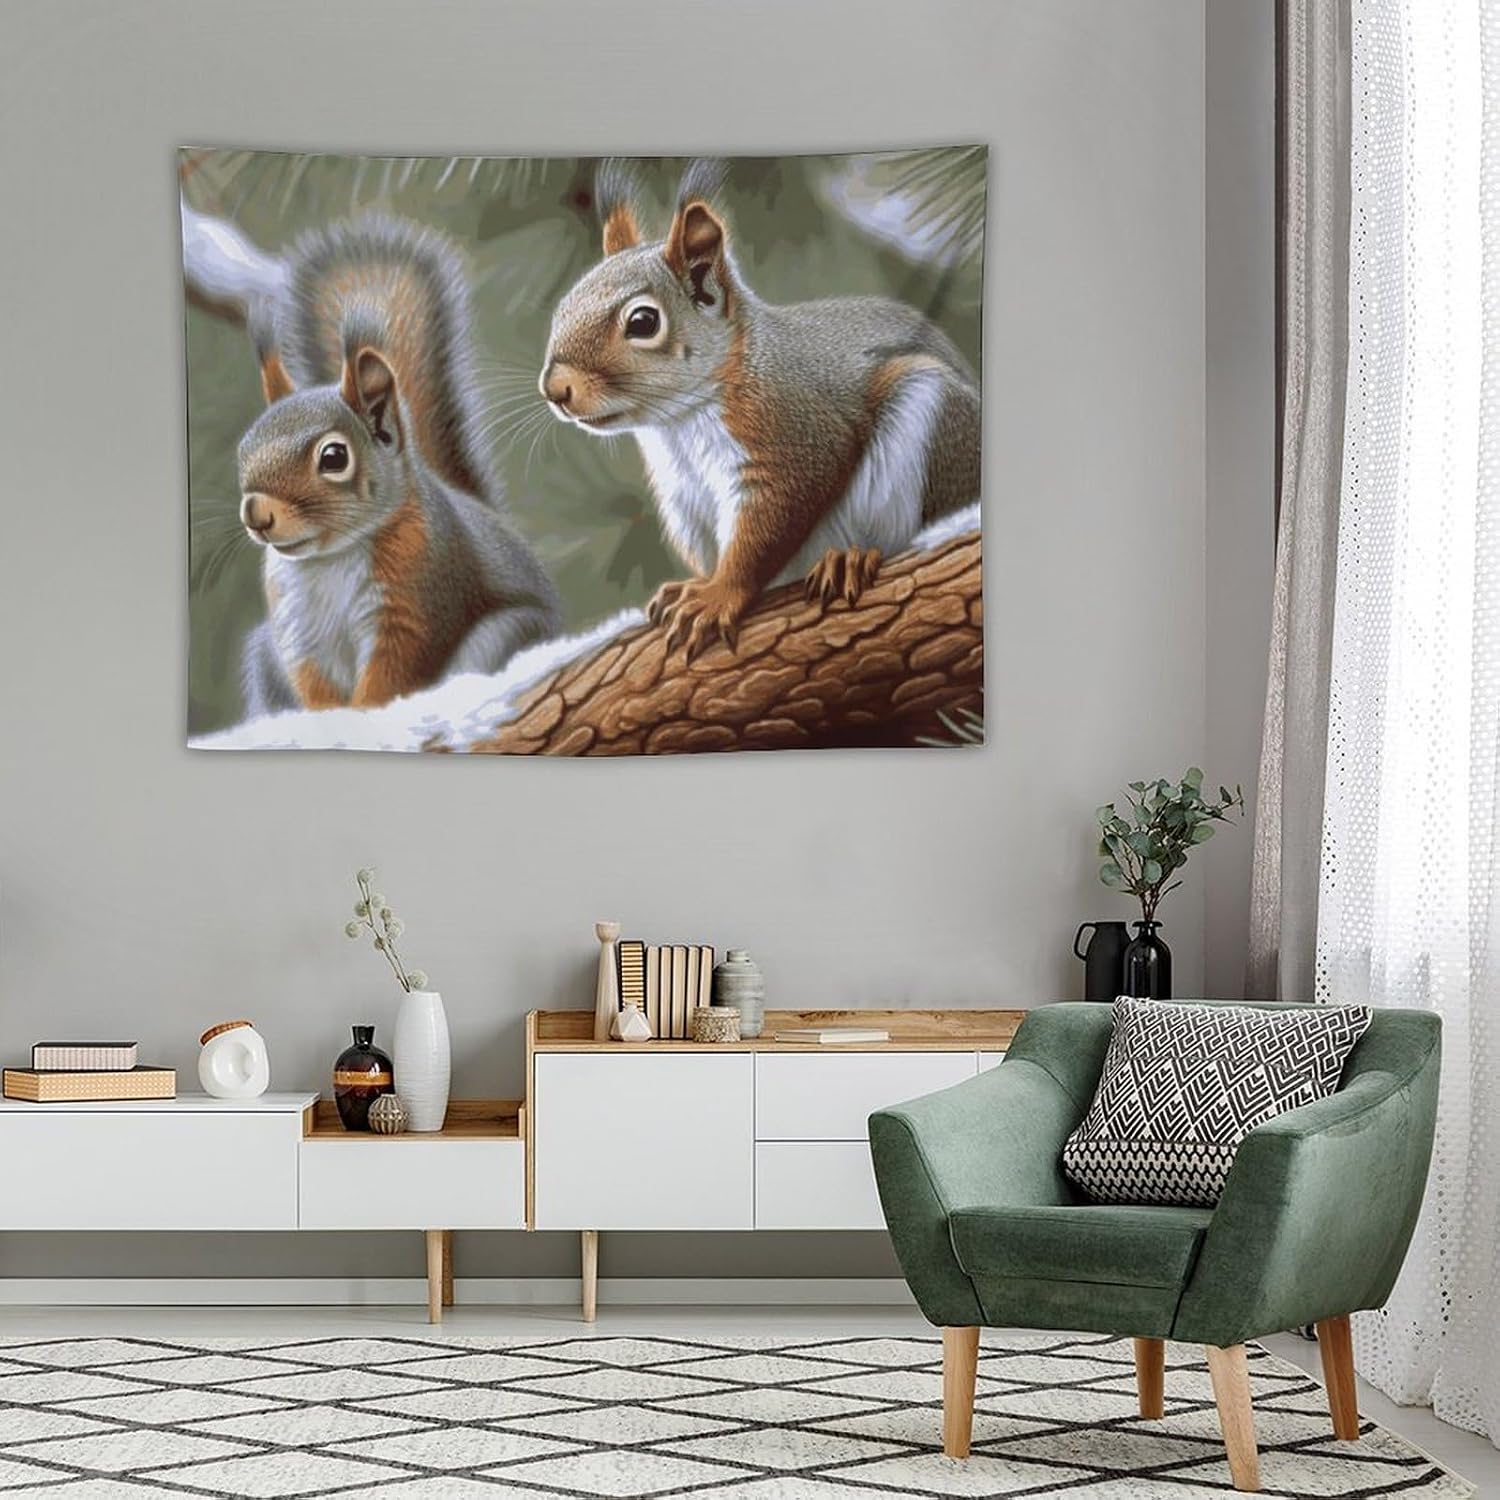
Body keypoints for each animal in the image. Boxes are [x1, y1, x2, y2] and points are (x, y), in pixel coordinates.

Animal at [235, 214, 561, 717]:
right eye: (244, 450)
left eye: (333, 457)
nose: (256, 514)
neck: (330, 558)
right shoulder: (297, 631)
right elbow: (314, 685)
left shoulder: (413, 602)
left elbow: (391, 674)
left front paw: (367, 717)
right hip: (263, 655)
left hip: (504, 635)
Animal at [539, 160, 981, 659]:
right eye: (563, 306)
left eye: (643, 321)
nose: (554, 389)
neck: (680, 422)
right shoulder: (684, 496)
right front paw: (697, 584)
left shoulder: (790, 438)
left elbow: (763, 535)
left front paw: (716, 595)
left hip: (935, 417)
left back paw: (851, 558)